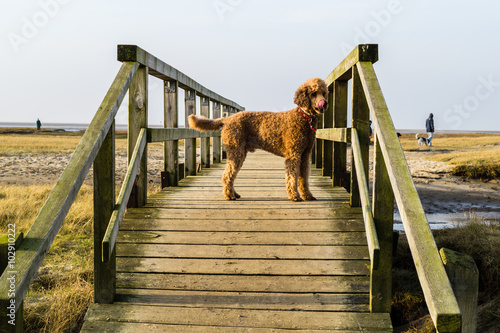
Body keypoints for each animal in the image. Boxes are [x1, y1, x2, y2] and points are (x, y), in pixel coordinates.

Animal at [188, 78, 328, 201]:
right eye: (313, 93)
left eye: (324, 93)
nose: (324, 103)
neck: (304, 118)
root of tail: (226, 119)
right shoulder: (293, 155)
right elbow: (292, 177)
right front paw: (294, 196)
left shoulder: (305, 155)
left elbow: (304, 178)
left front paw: (308, 196)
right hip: (236, 151)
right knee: (227, 175)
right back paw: (229, 196)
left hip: (239, 153)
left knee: (231, 175)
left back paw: (234, 194)